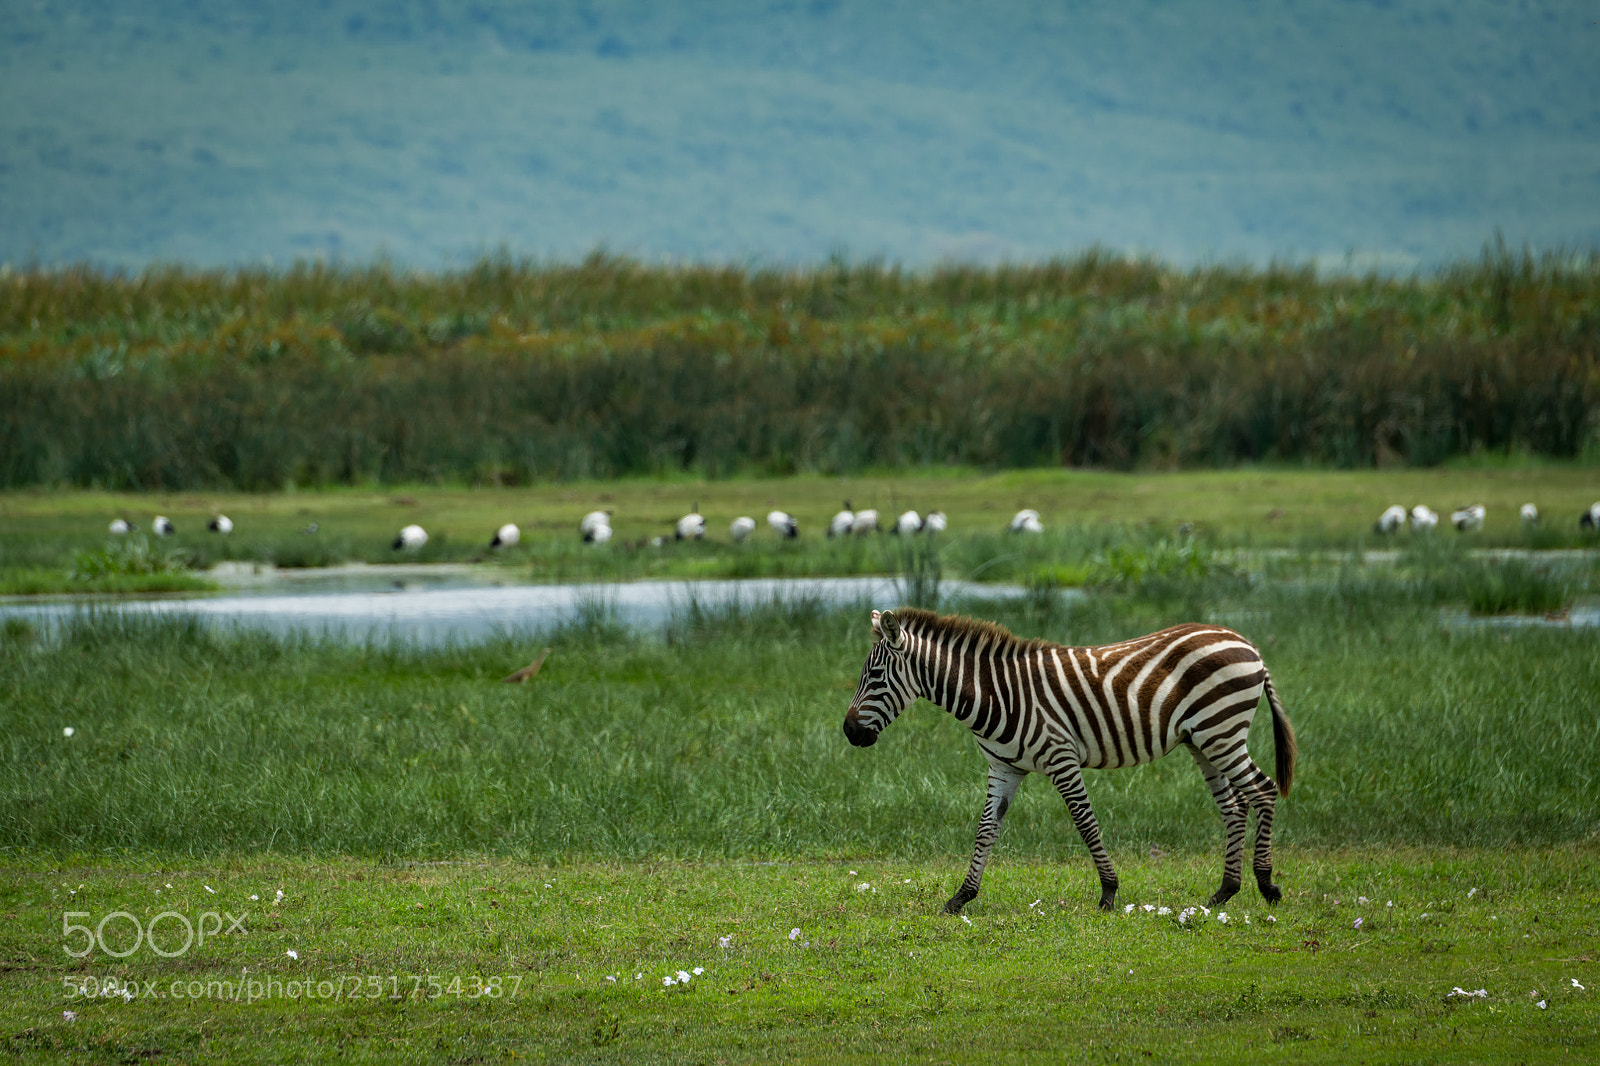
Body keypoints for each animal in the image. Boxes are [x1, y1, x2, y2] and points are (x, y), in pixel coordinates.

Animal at [843, 608, 1297, 914]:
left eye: (876, 677)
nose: (848, 732)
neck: (997, 695)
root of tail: (1246, 643)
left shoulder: (1060, 757)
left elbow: (1084, 821)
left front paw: (1109, 891)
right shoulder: (1004, 768)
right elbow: (986, 830)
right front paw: (961, 897)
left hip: (1222, 730)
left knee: (1263, 791)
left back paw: (1267, 885)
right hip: (1202, 740)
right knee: (1234, 806)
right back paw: (1224, 891)